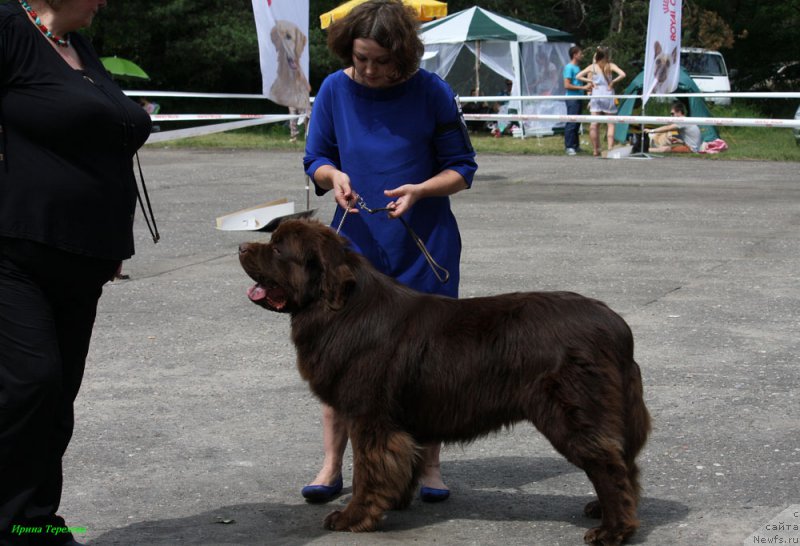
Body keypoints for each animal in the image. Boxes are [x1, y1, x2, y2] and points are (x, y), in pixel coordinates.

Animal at [238, 218, 648, 544]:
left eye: (277, 248)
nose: (241, 246)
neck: (342, 309)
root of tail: (618, 327)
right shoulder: (396, 421)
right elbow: (396, 464)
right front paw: (394, 501)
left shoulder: (368, 416)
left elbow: (368, 471)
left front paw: (353, 517)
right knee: (624, 462)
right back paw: (604, 510)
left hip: (572, 412)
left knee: (608, 464)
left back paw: (614, 529)